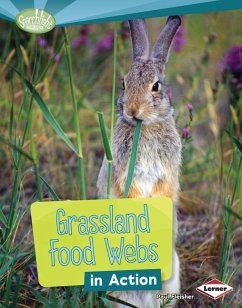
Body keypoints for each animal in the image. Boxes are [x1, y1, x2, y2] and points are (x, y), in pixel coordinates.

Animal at [97, 16, 182, 308]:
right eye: (124, 83)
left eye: (156, 86)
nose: (132, 110)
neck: (144, 127)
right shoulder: (124, 173)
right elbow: (129, 192)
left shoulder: (167, 173)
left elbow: (164, 192)